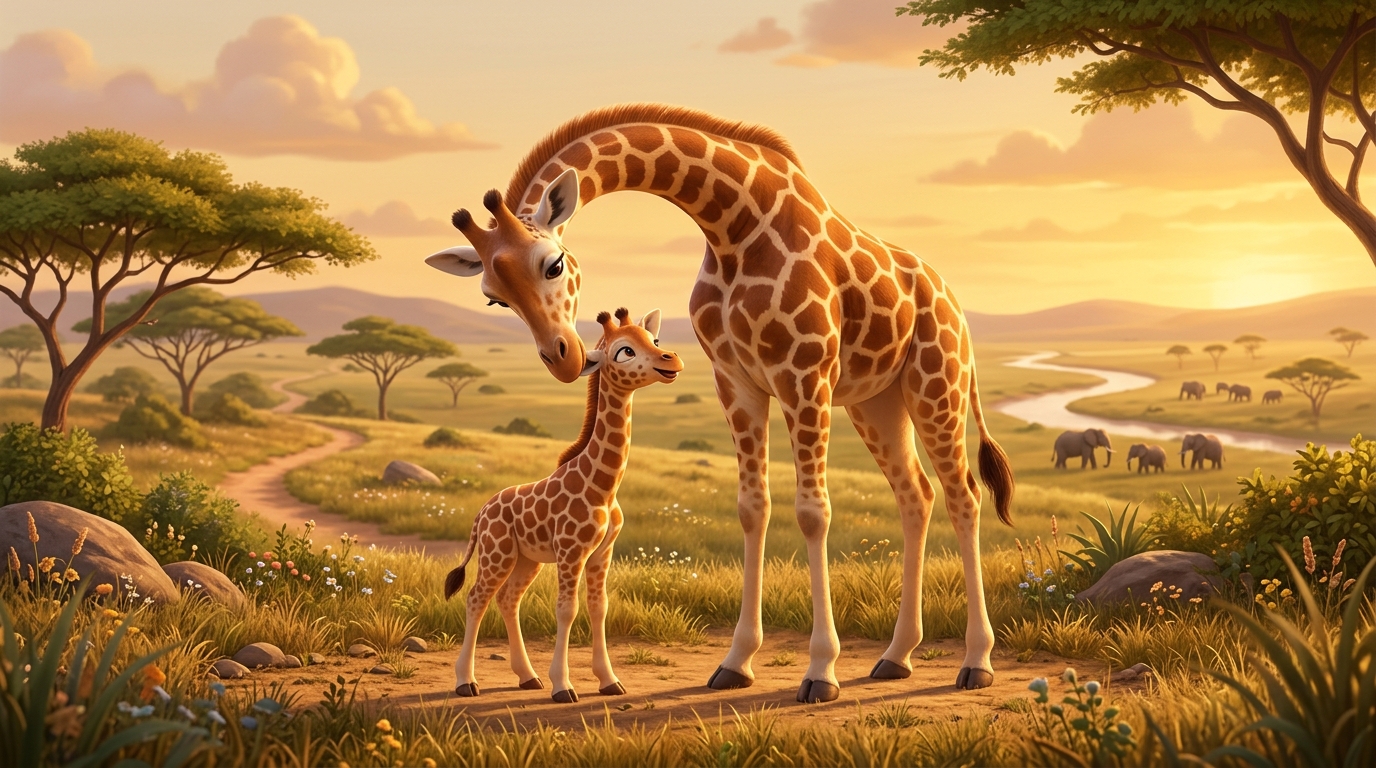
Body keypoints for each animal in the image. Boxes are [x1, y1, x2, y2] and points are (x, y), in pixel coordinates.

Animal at [443, 307, 683, 703]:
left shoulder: (602, 552)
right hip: (497, 553)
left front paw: (609, 681)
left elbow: (599, 608)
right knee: (477, 598)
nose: (672, 360)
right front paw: (564, 686)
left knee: (508, 599)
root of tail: (481, 512)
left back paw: (527, 677)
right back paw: (466, 682)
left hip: (526, 560)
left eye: (655, 340)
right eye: (624, 351)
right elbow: (567, 610)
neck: (604, 487)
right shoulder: (571, 552)